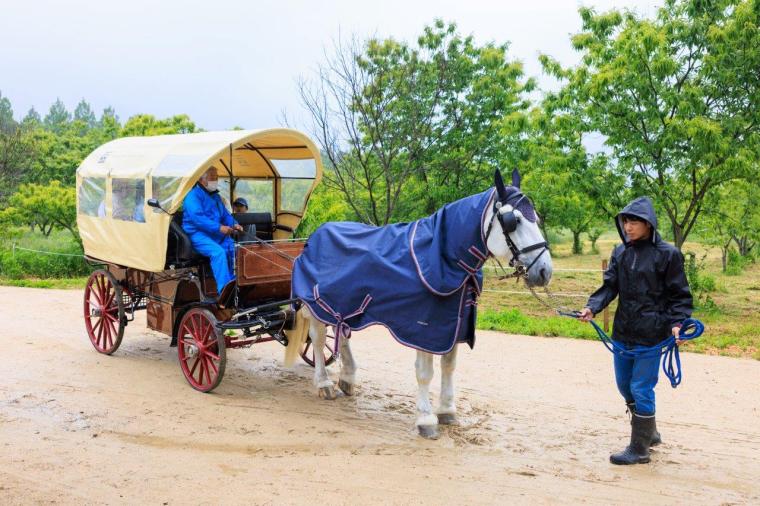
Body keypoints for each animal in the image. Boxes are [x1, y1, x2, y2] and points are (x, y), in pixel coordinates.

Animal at [284, 169, 553, 438]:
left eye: (536, 218)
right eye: (513, 221)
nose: (544, 271)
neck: (444, 257)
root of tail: (315, 236)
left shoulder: (453, 327)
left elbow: (449, 366)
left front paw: (447, 411)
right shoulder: (425, 330)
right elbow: (425, 373)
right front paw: (426, 419)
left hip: (344, 304)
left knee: (343, 334)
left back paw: (348, 378)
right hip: (316, 306)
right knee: (319, 341)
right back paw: (324, 383)